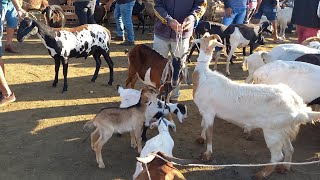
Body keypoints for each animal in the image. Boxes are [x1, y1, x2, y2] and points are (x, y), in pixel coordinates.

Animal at [192, 32, 320, 179]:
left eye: (203, 39)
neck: (203, 75)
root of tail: (298, 108)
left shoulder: (209, 112)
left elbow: (209, 133)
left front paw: (207, 154)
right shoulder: (205, 111)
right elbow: (203, 125)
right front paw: (200, 138)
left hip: (272, 132)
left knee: (277, 155)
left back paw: (262, 173)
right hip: (283, 130)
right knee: (289, 149)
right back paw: (284, 168)